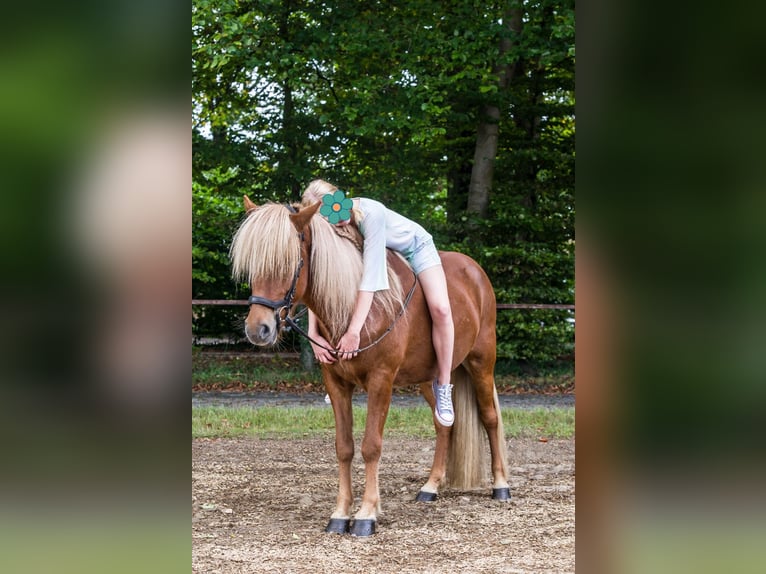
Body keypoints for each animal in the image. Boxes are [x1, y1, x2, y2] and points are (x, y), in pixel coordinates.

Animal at [230, 197, 510, 537]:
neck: (353, 309)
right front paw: (340, 514)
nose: (258, 329)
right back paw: (430, 486)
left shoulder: (381, 381)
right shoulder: (336, 383)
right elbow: (344, 447)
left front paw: (366, 514)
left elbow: (371, 446)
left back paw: (501, 485)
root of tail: (475, 270)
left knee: (490, 418)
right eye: (252, 265)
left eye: (289, 262)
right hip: (430, 378)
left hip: (482, 361)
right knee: (445, 424)